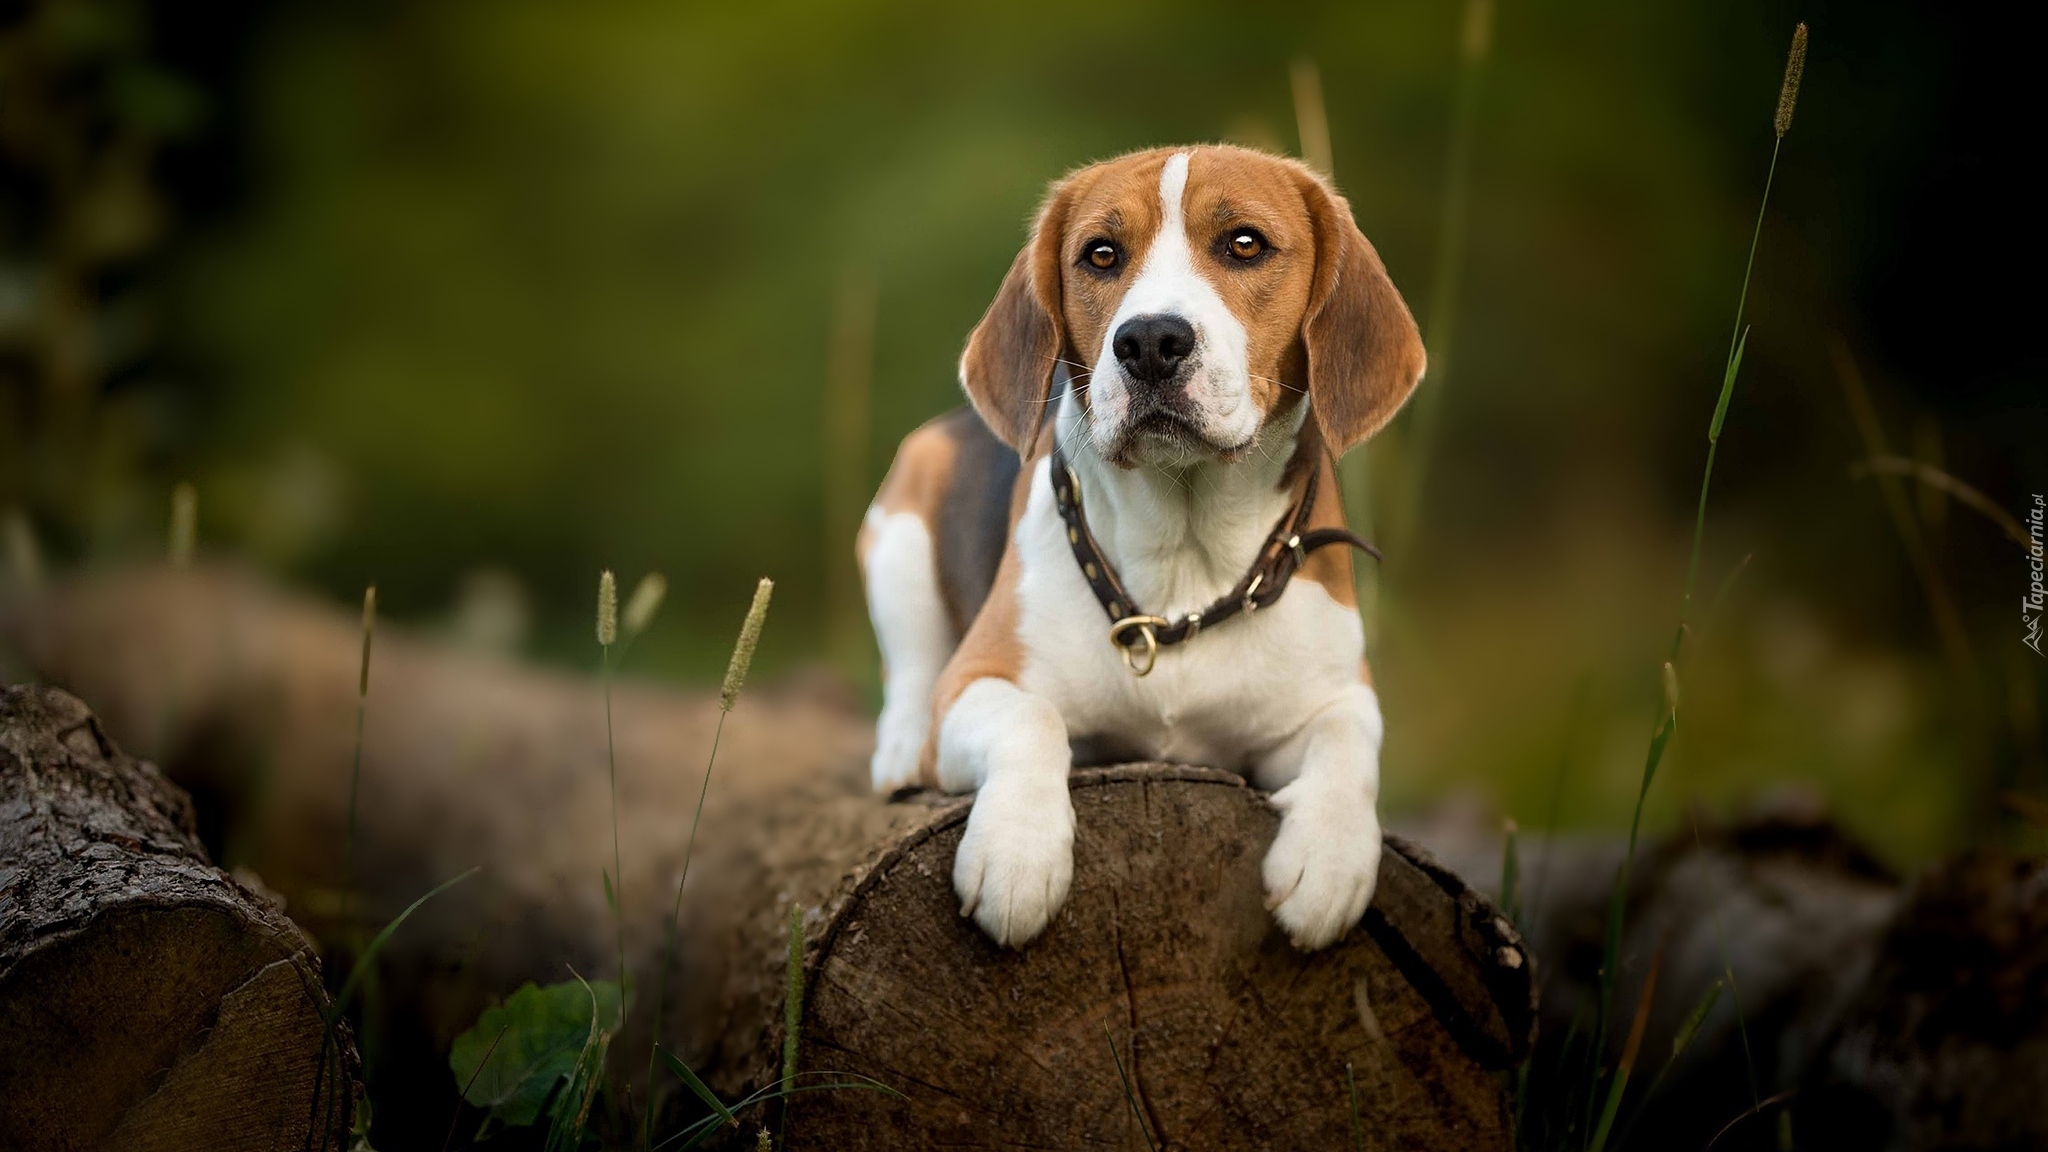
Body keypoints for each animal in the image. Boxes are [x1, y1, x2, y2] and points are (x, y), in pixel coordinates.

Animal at [860, 141, 1425, 951]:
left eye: (1245, 243)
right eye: (1101, 254)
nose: (1150, 341)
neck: (1184, 563)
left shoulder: (1334, 693)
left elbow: (1351, 744)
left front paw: (1329, 860)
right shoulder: (977, 681)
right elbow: (1033, 719)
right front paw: (1016, 852)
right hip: (901, 522)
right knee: (908, 666)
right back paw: (902, 749)